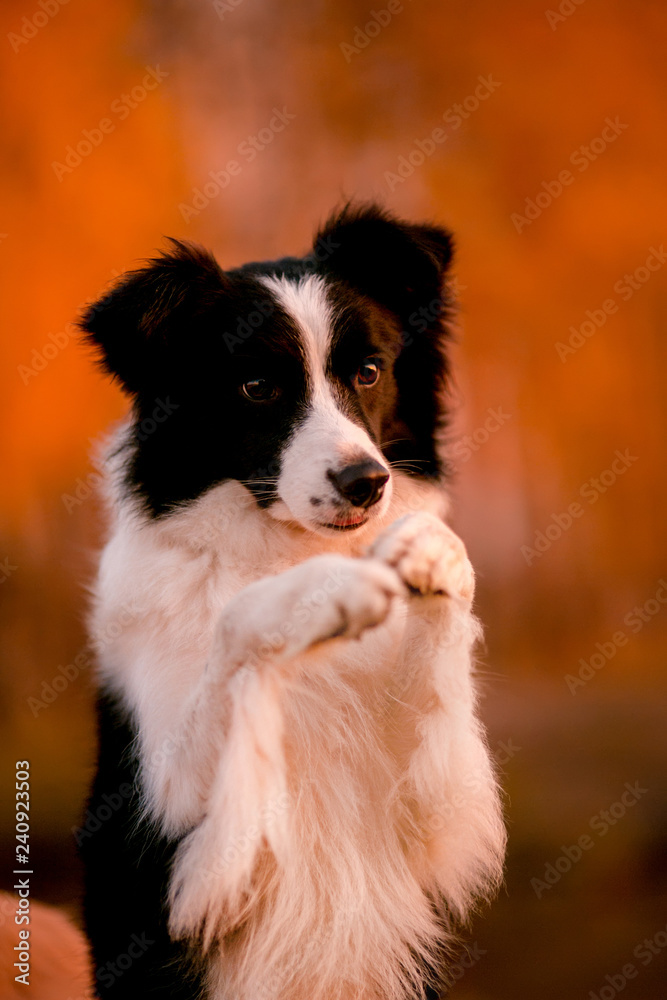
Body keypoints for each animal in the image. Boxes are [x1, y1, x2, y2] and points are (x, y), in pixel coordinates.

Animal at [78, 205, 506, 1000]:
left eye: (367, 371)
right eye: (257, 388)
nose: (366, 483)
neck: (283, 543)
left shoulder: (441, 813)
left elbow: (444, 747)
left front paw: (428, 554)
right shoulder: (186, 853)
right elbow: (239, 630)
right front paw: (323, 596)